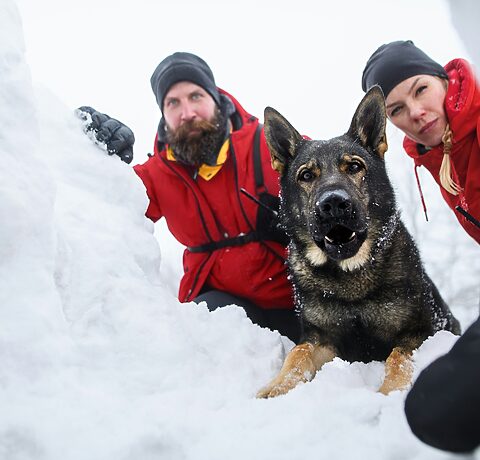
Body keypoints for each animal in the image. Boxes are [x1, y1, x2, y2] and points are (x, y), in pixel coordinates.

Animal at [256, 88, 460, 398]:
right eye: (306, 175)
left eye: (354, 166)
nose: (333, 204)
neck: (349, 276)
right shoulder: (322, 338)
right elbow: (297, 353)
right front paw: (279, 386)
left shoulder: (421, 332)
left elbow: (398, 357)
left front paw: (390, 392)